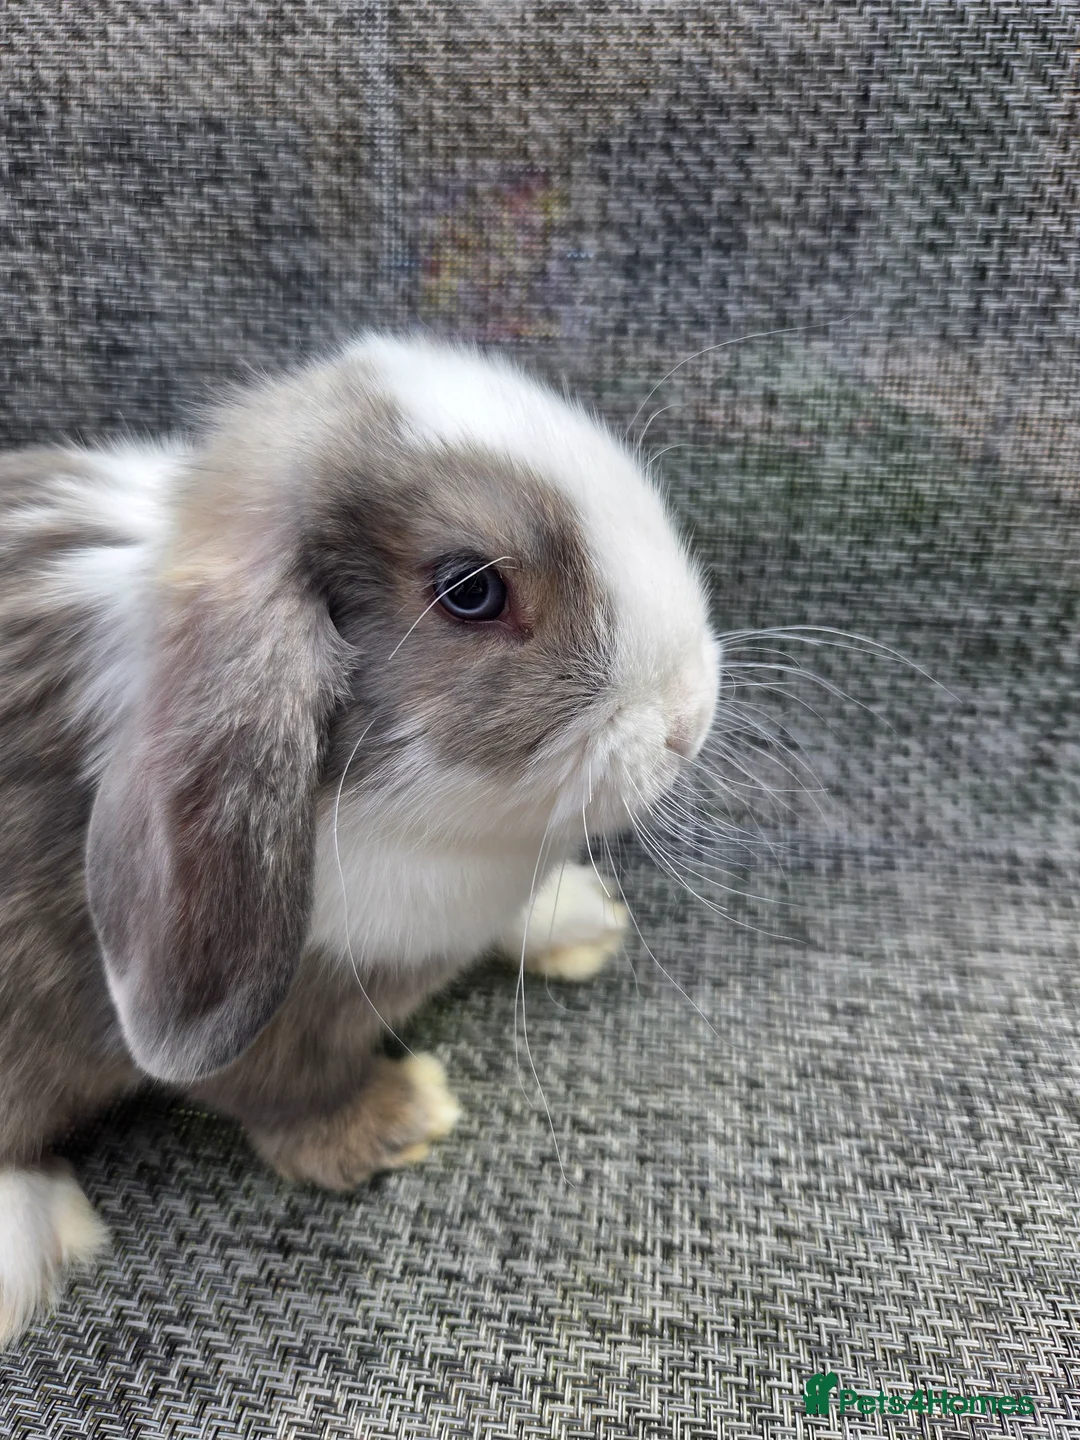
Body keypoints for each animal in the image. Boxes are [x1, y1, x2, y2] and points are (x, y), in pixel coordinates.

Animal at [0, 334, 719, 1346]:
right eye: (471, 590)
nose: (689, 719)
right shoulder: (264, 1024)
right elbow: (286, 1090)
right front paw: (403, 1114)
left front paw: (581, 918)